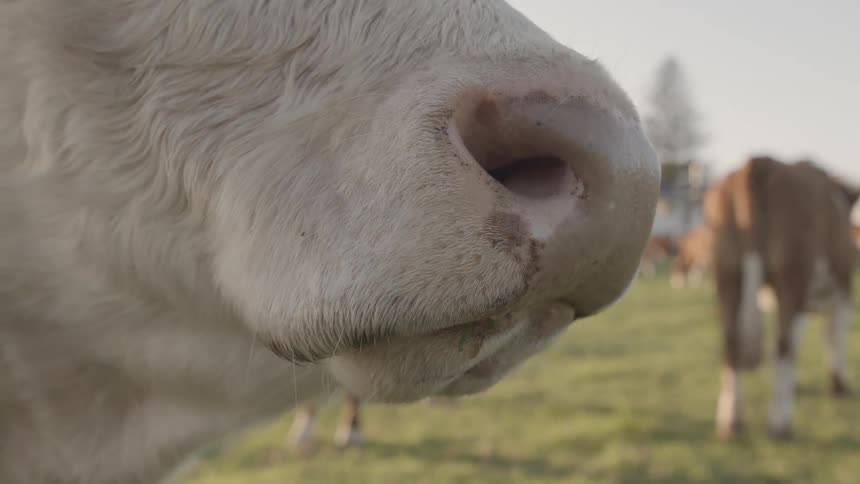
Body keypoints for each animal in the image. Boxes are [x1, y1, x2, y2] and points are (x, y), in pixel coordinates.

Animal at [704, 156, 859, 440]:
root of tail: (759, 161)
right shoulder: (843, 289)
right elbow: (834, 336)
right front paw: (838, 384)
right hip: (792, 274)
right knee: (782, 344)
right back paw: (780, 423)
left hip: (727, 271)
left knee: (732, 341)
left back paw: (730, 422)